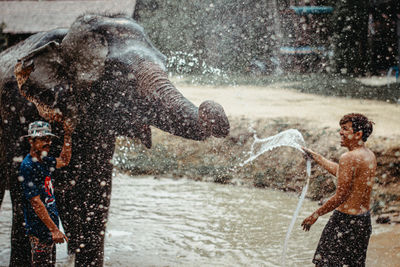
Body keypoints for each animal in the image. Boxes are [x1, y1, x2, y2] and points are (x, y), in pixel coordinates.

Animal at [0, 13, 230, 266]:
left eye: (165, 63)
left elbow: (96, 193)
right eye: (119, 75)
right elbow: (25, 192)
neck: (63, 43)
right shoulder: (17, 112)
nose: (210, 105)